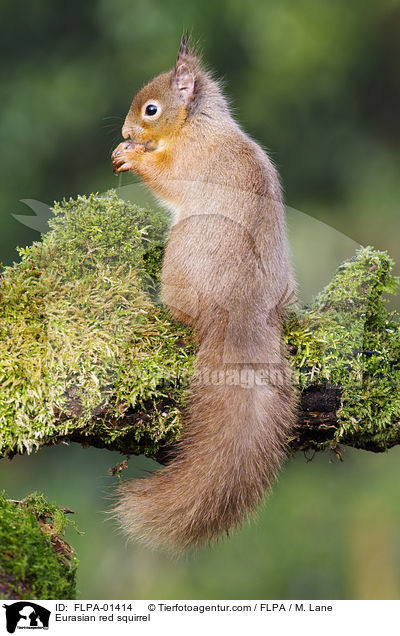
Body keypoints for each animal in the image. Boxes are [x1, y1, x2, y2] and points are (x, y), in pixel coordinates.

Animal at [111, 36, 296, 552]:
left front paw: (130, 156)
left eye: (151, 109)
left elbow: (167, 176)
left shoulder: (191, 160)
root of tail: (243, 310)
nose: (125, 131)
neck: (198, 123)